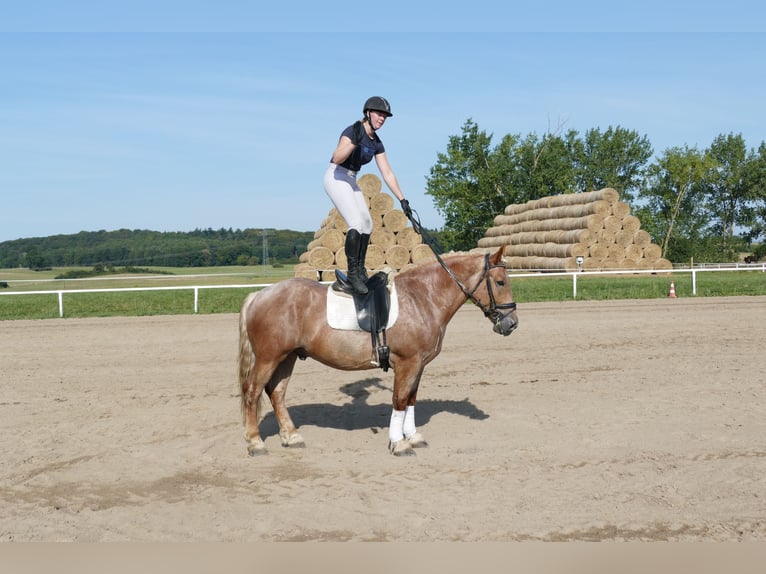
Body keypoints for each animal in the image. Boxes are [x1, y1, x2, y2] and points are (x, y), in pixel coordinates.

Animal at [237, 248, 520, 460]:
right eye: (500, 282)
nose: (511, 324)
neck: (422, 297)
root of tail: (260, 294)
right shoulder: (407, 363)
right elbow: (399, 400)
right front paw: (399, 444)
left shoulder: (419, 365)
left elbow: (411, 399)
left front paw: (413, 436)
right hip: (269, 358)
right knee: (252, 392)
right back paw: (255, 443)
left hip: (288, 357)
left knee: (276, 393)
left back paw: (291, 436)